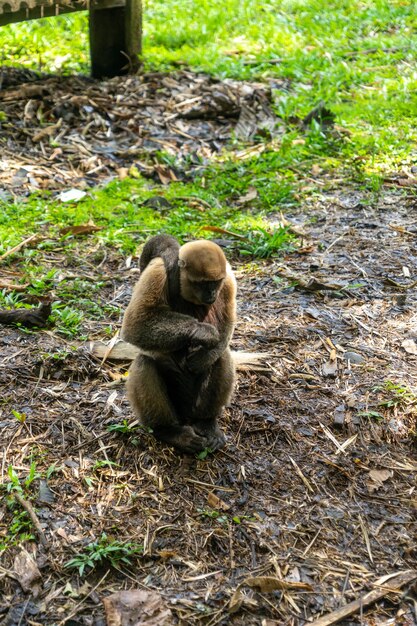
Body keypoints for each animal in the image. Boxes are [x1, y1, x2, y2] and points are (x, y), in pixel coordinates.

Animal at [121, 234, 237, 454]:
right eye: (202, 284)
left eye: (215, 283)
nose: (212, 294)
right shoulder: (158, 270)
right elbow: (135, 325)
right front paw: (200, 331)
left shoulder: (228, 280)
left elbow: (227, 324)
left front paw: (203, 357)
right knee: (144, 362)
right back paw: (169, 431)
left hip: (194, 404)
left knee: (221, 356)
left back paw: (206, 422)